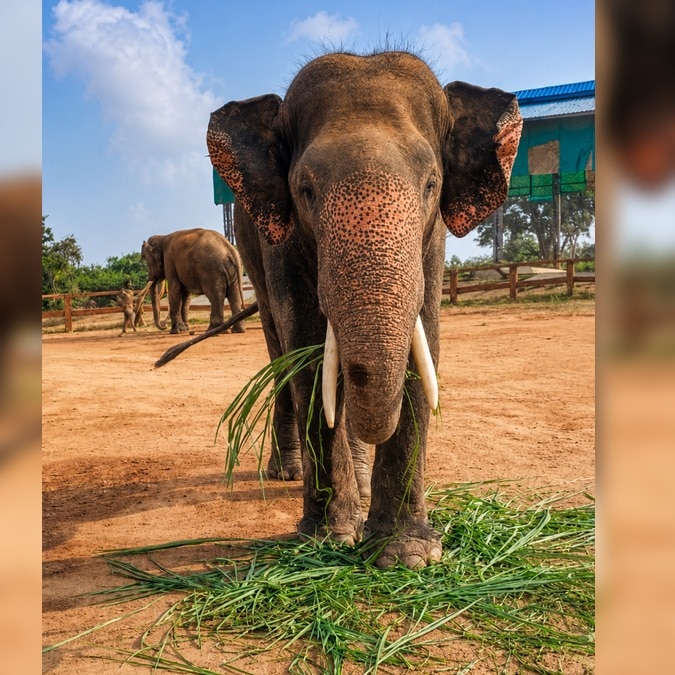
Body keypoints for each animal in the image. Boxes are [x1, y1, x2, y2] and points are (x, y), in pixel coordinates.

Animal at [207, 51, 521, 568]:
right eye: (305, 190)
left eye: (431, 184)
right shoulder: (281, 244)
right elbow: (309, 352)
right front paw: (329, 540)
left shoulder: (431, 239)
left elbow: (423, 343)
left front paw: (405, 556)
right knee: (279, 353)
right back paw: (290, 472)